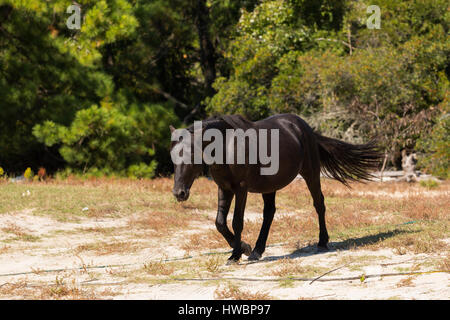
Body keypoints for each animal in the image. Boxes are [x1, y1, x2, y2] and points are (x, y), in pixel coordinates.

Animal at [171, 114, 382, 264]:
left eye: (191, 154)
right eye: (172, 155)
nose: (179, 193)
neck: (228, 145)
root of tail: (304, 127)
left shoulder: (241, 189)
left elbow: (237, 222)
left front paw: (235, 255)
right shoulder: (224, 188)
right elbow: (220, 223)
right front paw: (244, 248)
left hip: (311, 174)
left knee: (319, 204)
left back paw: (322, 242)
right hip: (269, 186)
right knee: (269, 214)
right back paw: (257, 250)